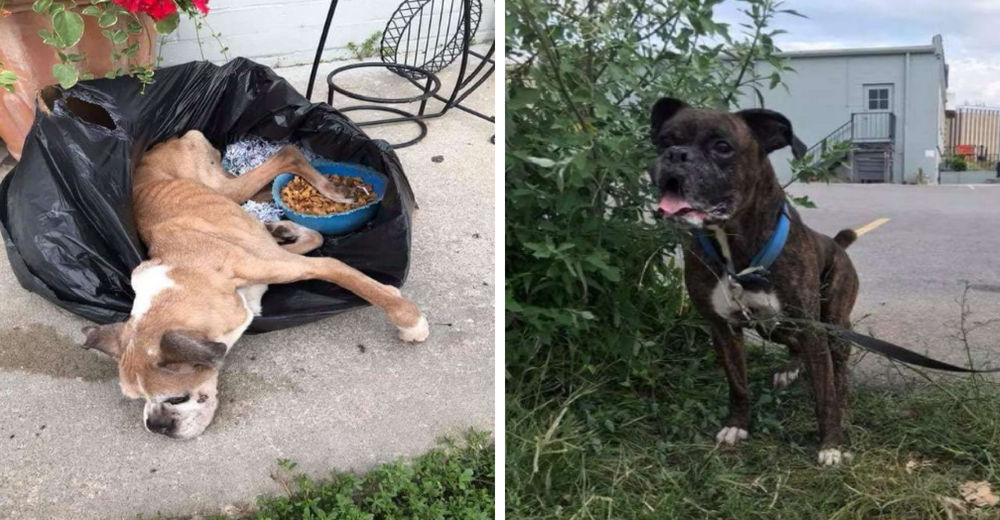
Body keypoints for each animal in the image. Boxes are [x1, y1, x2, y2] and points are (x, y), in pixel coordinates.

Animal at [79, 130, 430, 438]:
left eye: (177, 398)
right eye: (139, 400)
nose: (155, 426)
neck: (188, 278)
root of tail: (159, 144)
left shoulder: (285, 264)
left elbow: (343, 272)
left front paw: (410, 320)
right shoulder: (275, 258)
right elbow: (314, 239)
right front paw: (285, 229)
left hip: (221, 187)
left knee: (287, 155)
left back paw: (332, 190)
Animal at [648, 97, 860, 468]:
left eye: (722, 147)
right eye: (663, 140)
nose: (676, 154)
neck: (733, 244)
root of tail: (836, 243)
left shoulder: (812, 327)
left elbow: (825, 394)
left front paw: (831, 444)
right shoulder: (722, 327)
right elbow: (738, 384)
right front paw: (737, 425)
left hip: (832, 323)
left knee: (839, 371)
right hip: (774, 325)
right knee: (795, 346)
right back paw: (790, 369)